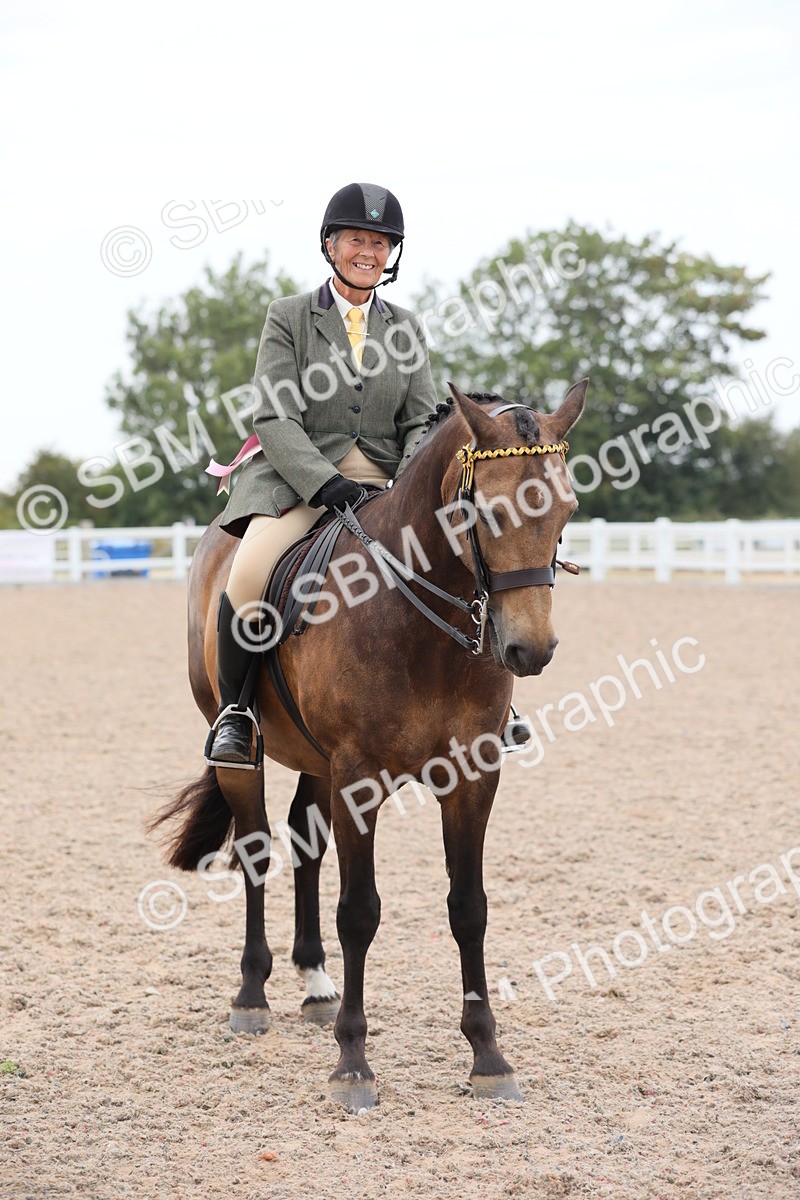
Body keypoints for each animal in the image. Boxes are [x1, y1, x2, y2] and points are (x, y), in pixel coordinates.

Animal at [150, 379, 586, 1112]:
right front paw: (353, 1064)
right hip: (250, 751)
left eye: (567, 508)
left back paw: (315, 983)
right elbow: (359, 912)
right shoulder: (359, 777)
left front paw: (488, 1057)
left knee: (305, 845)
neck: (422, 621)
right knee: (257, 850)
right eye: (487, 510)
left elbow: (469, 908)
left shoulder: (472, 777)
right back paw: (252, 994)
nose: (530, 650)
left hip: (316, 762)